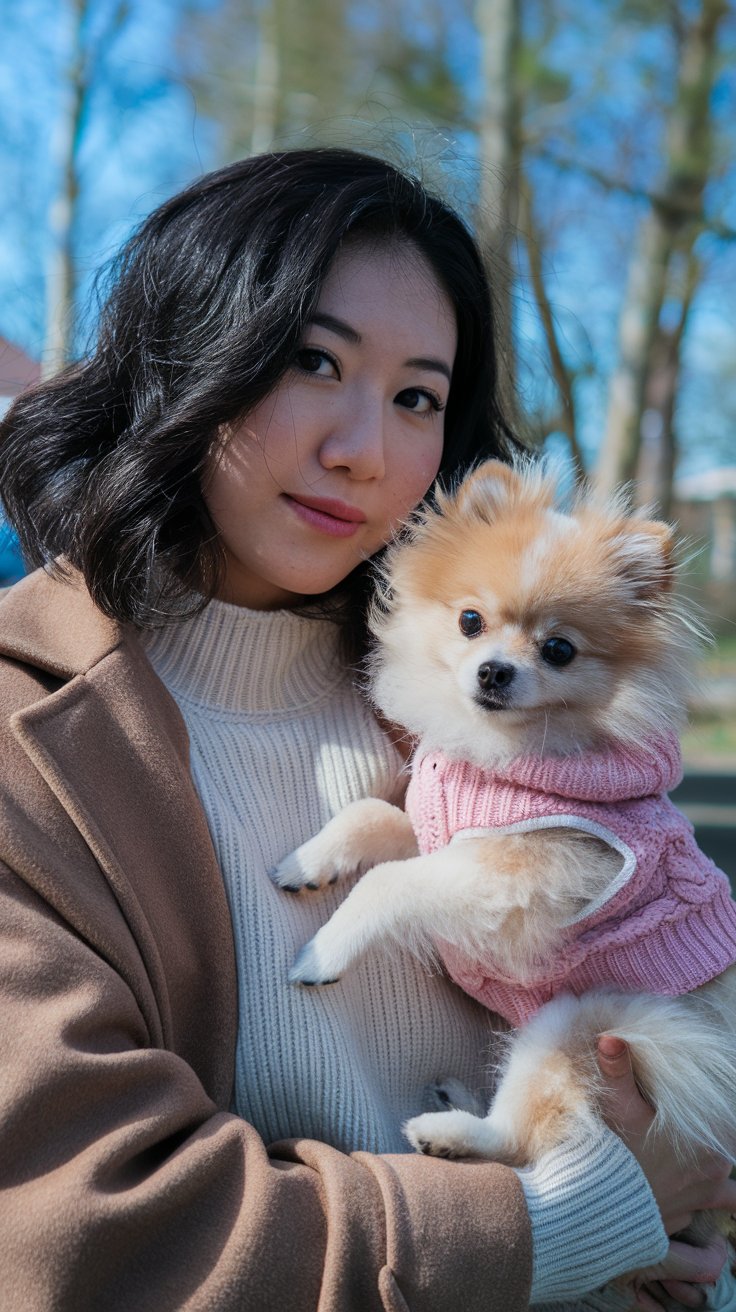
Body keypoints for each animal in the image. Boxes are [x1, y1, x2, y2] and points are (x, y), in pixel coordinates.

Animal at [271, 461, 734, 1191]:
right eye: (470, 620)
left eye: (559, 650)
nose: (494, 670)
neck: (498, 755)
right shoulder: (442, 829)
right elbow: (374, 813)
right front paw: (310, 861)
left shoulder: (521, 872)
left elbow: (391, 882)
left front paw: (324, 950)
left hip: (584, 1021)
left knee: (524, 1139)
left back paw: (450, 1133)